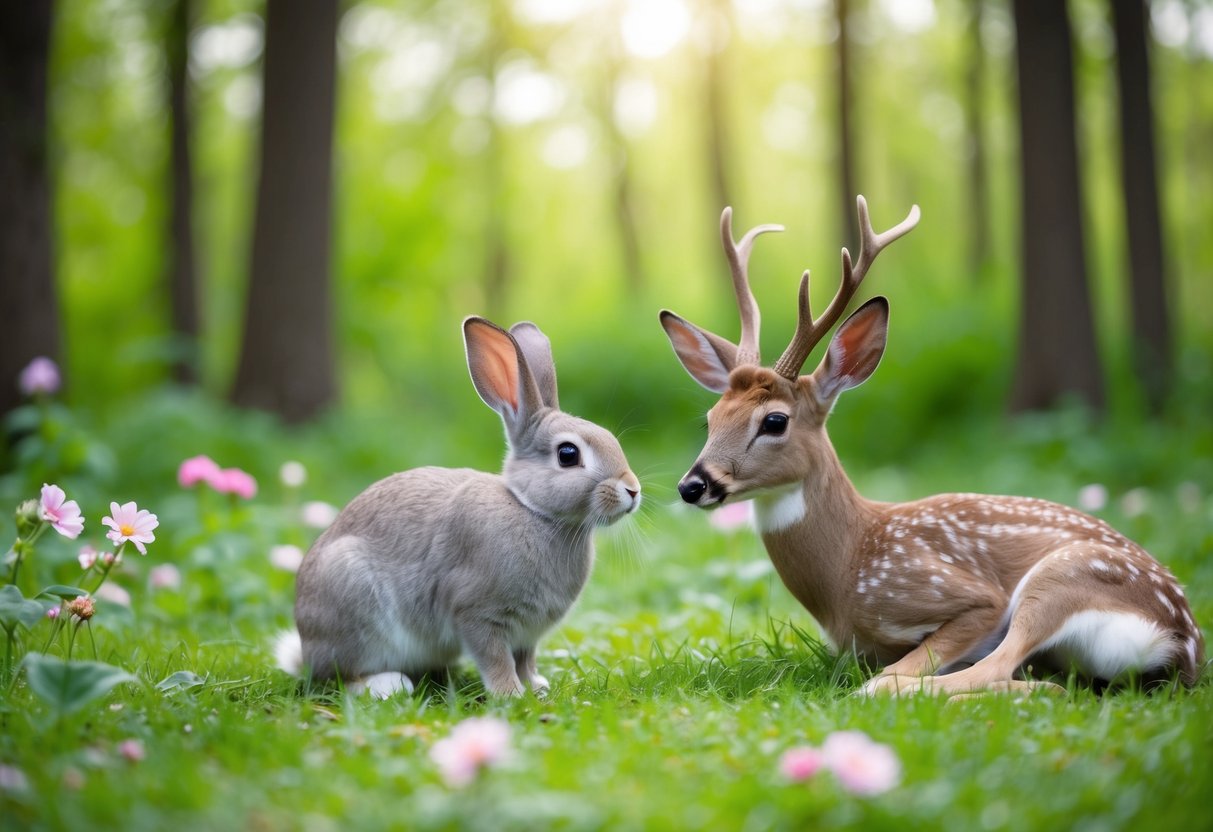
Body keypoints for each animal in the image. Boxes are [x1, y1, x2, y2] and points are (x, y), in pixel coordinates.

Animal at [271, 315, 640, 698]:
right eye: (568, 454)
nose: (632, 490)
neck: (533, 511)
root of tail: (306, 649)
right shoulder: (476, 612)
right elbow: (496, 659)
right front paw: (510, 694)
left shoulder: (527, 634)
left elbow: (525, 659)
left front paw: (534, 687)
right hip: (354, 602)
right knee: (339, 676)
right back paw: (387, 684)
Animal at [664, 197, 1203, 698]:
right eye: (711, 419)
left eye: (774, 421)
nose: (693, 485)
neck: (846, 575)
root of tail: (1182, 643)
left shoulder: (962, 595)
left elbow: (903, 670)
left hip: (1062, 577)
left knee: (990, 677)